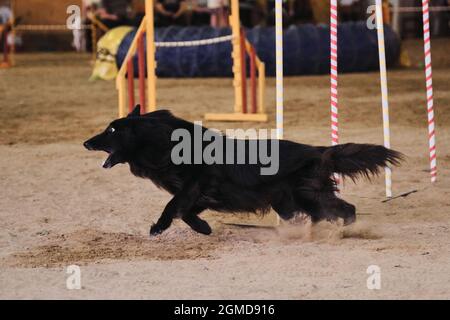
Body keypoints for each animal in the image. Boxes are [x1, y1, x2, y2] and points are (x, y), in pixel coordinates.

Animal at [84, 106, 404, 236]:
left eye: (111, 130)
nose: (86, 142)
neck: (164, 142)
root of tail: (317, 150)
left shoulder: (195, 184)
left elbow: (172, 207)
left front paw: (158, 228)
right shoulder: (203, 194)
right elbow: (185, 212)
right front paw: (203, 228)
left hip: (305, 195)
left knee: (346, 209)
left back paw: (339, 232)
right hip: (291, 202)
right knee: (324, 214)